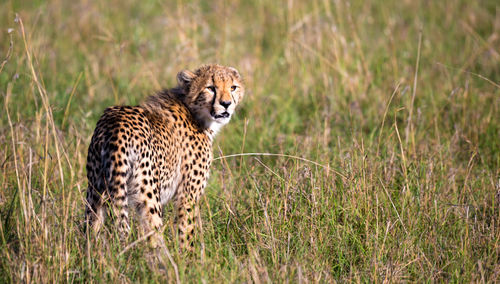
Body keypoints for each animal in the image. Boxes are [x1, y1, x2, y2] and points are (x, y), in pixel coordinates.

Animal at [85, 63, 245, 248]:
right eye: (210, 88)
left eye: (233, 87)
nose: (226, 104)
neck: (193, 110)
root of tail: (117, 122)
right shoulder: (187, 195)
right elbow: (186, 232)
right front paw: (188, 256)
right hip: (148, 196)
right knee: (153, 237)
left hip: (95, 190)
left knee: (91, 229)